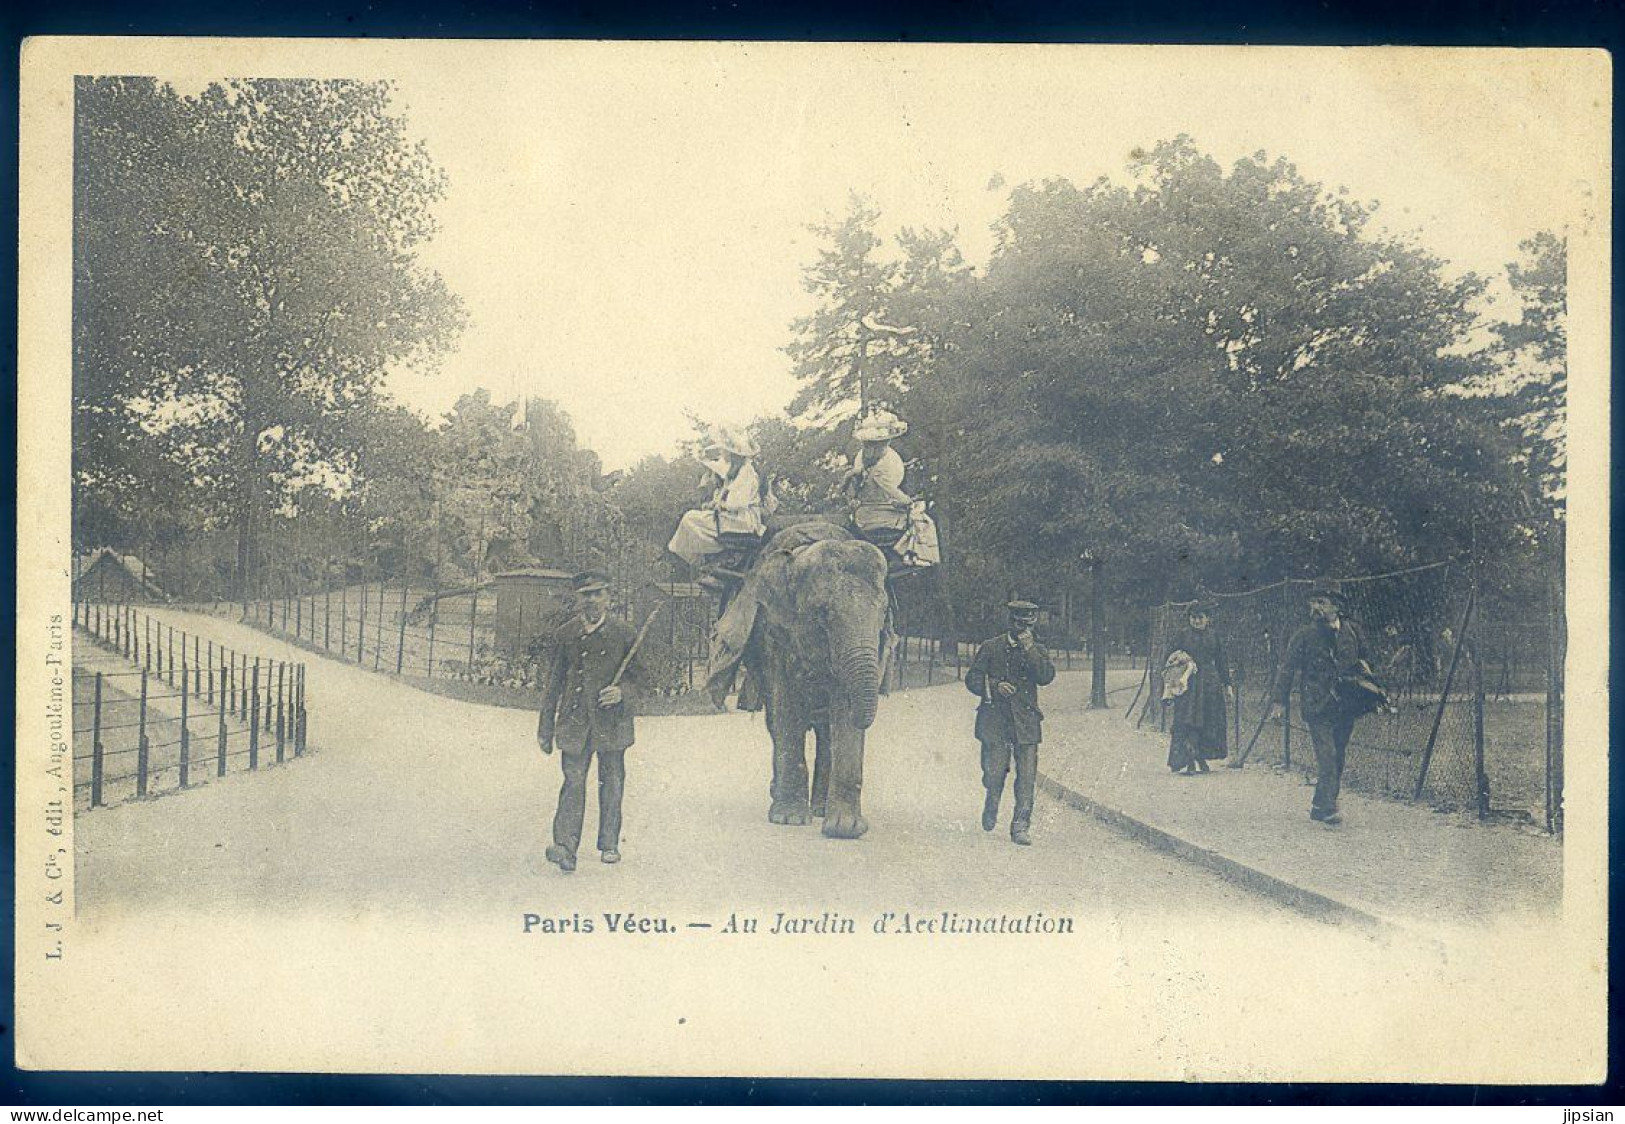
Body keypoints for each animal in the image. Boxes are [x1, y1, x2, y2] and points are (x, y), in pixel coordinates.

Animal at [711, 523, 890, 838]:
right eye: (822, 613)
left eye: (883, 612)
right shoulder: (773, 631)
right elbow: (786, 708)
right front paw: (789, 819)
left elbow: (842, 711)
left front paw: (846, 830)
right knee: (776, 722)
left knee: (826, 732)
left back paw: (819, 809)